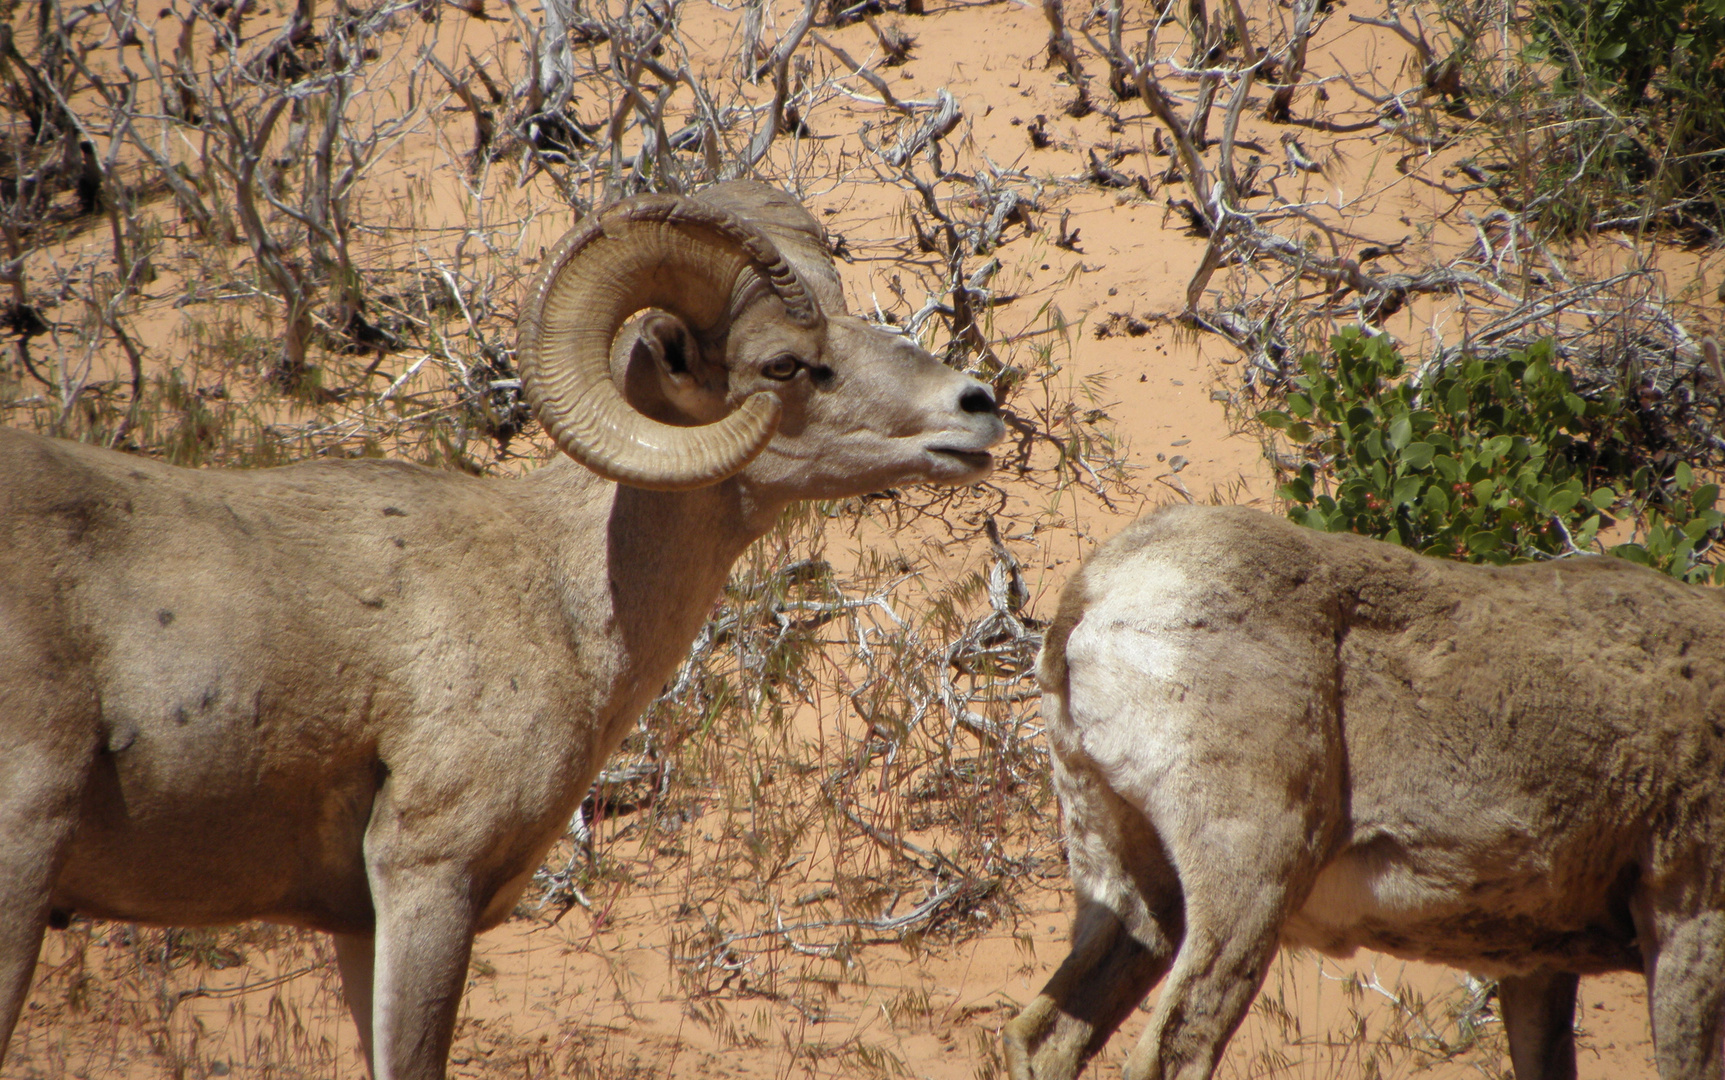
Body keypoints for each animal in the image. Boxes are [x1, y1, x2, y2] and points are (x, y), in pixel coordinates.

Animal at [1007, 503, 1725, 1076]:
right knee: (1176, 1046)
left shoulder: (1538, 960)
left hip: (1132, 885)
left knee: (1046, 1037)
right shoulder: (1687, 915)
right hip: (1250, 882)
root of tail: (1091, 600)